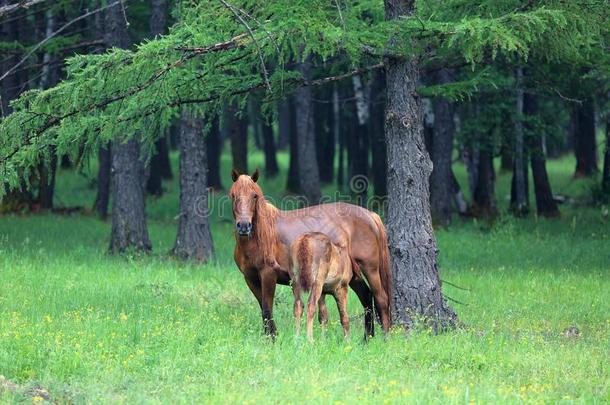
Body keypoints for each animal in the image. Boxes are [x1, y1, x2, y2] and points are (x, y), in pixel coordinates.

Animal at [228, 168, 390, 338]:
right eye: (233, 195)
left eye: (254, 196)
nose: (244, 226)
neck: (260, 237)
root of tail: (370, 215)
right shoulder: (250, 278)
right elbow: (264, 311)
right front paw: (271, 338)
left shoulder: (268, 275)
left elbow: (267, 310)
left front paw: (272, 340)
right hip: (352, 275)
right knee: (366, 296)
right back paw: (367, 338)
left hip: (370, 270)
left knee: (381, 299)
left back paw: (385, 338)